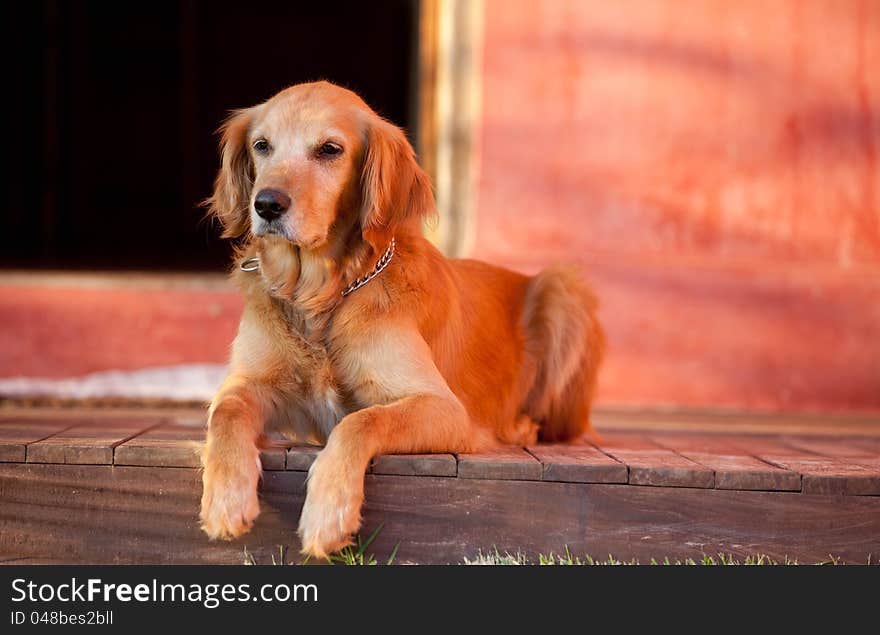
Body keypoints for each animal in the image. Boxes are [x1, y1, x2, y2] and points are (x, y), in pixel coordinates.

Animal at [199, 80, 600, 560]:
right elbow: (226, 412)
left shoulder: (443, 408)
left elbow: (362, 420)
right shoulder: (250, 383)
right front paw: (225, 499)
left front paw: (328, 512)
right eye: (262, 145)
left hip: (563, 290)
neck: (322, 297)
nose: (266, 205)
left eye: (330, 149)